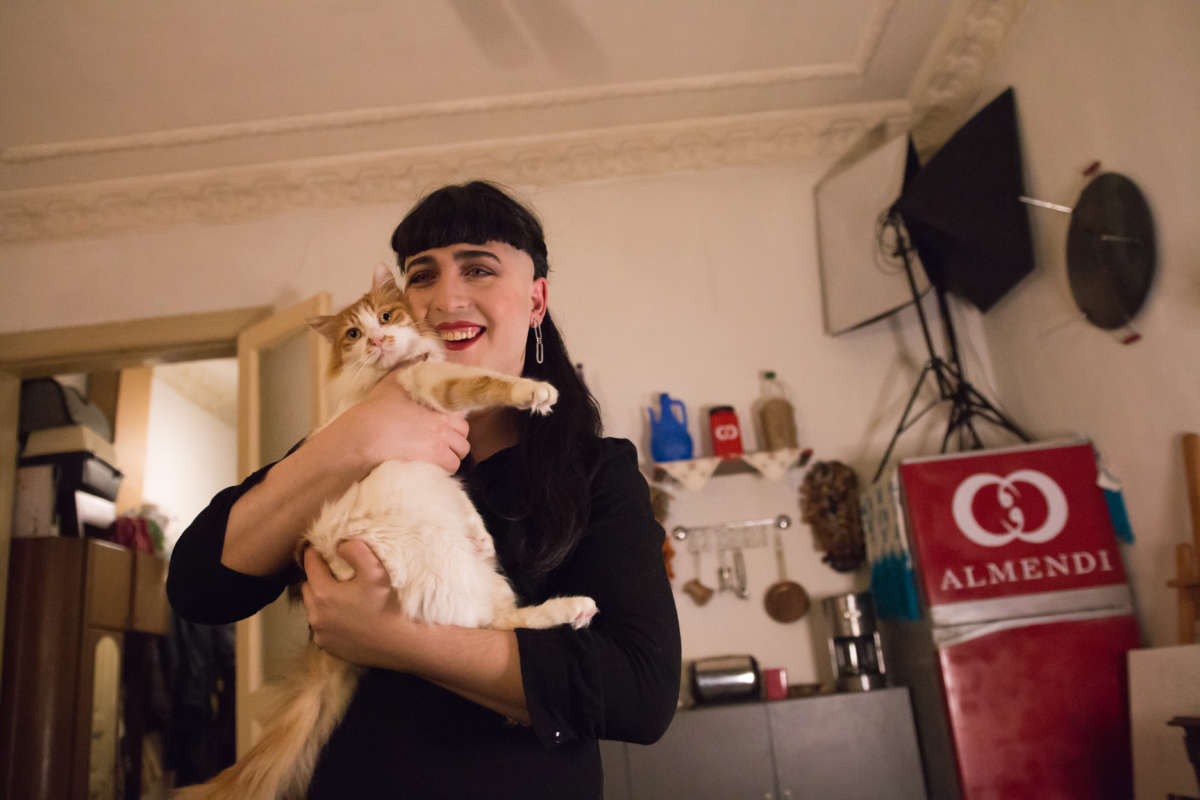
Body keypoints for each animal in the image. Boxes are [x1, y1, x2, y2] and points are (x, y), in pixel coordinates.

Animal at [177, 266, 595, 800]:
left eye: (387, 316)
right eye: (354, 335)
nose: (377, 339)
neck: (396, 371)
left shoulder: (448, 470)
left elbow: (468, 505)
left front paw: (483, 535)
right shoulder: (436, 389)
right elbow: (486, 382)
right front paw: (534, 391)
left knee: (501, 623)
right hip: (446, 564)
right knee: (494, 625)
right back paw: (575, 608)